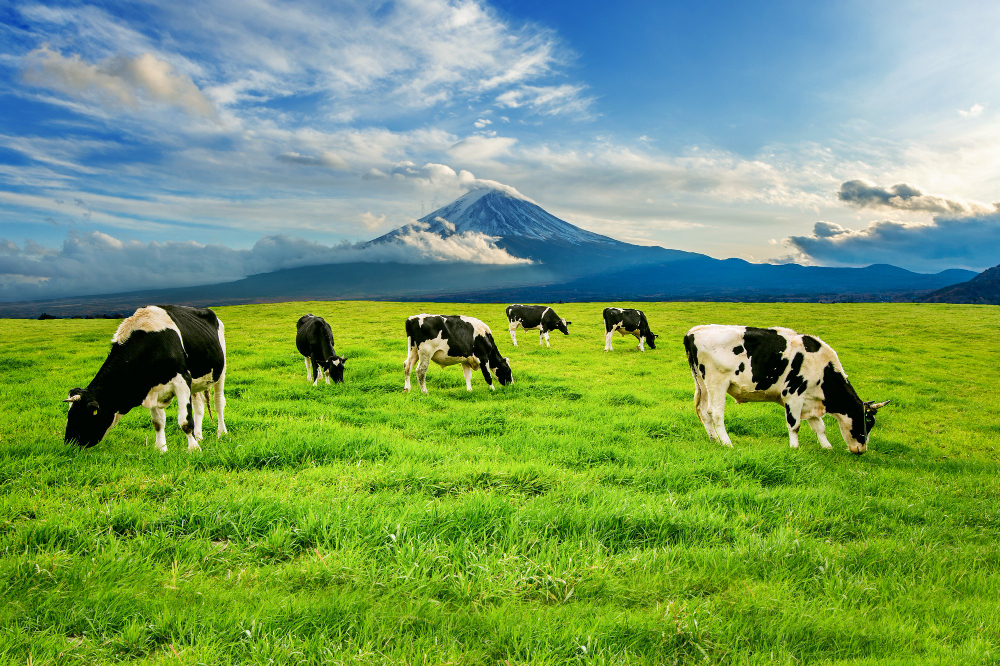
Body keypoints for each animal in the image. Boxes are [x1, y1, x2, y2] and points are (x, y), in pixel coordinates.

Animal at [63, 304, 228, 452]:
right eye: (69, 414)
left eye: (81, 416)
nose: (68, 444)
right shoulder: (151, 387)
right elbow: (158, 422)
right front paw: (161, 449)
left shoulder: (182, 380)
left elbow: (185, 421)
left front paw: (193, 449)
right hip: (196, 382)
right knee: (199, 405)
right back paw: (199, 436)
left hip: (221, 371)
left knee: (218, 402)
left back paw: (221, 433)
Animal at [680, 322, 892, 452]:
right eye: (867, 422)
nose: (862, 450)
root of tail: (694, 332)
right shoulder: (793, 395)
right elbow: (795, 424)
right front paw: (794, 447)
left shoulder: (809, 400)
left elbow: (820, 426)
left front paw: (827, 447)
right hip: (717, 382)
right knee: (715, 413)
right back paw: (726, 442)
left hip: (702, 384)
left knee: (703, 411)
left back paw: (714, 439)